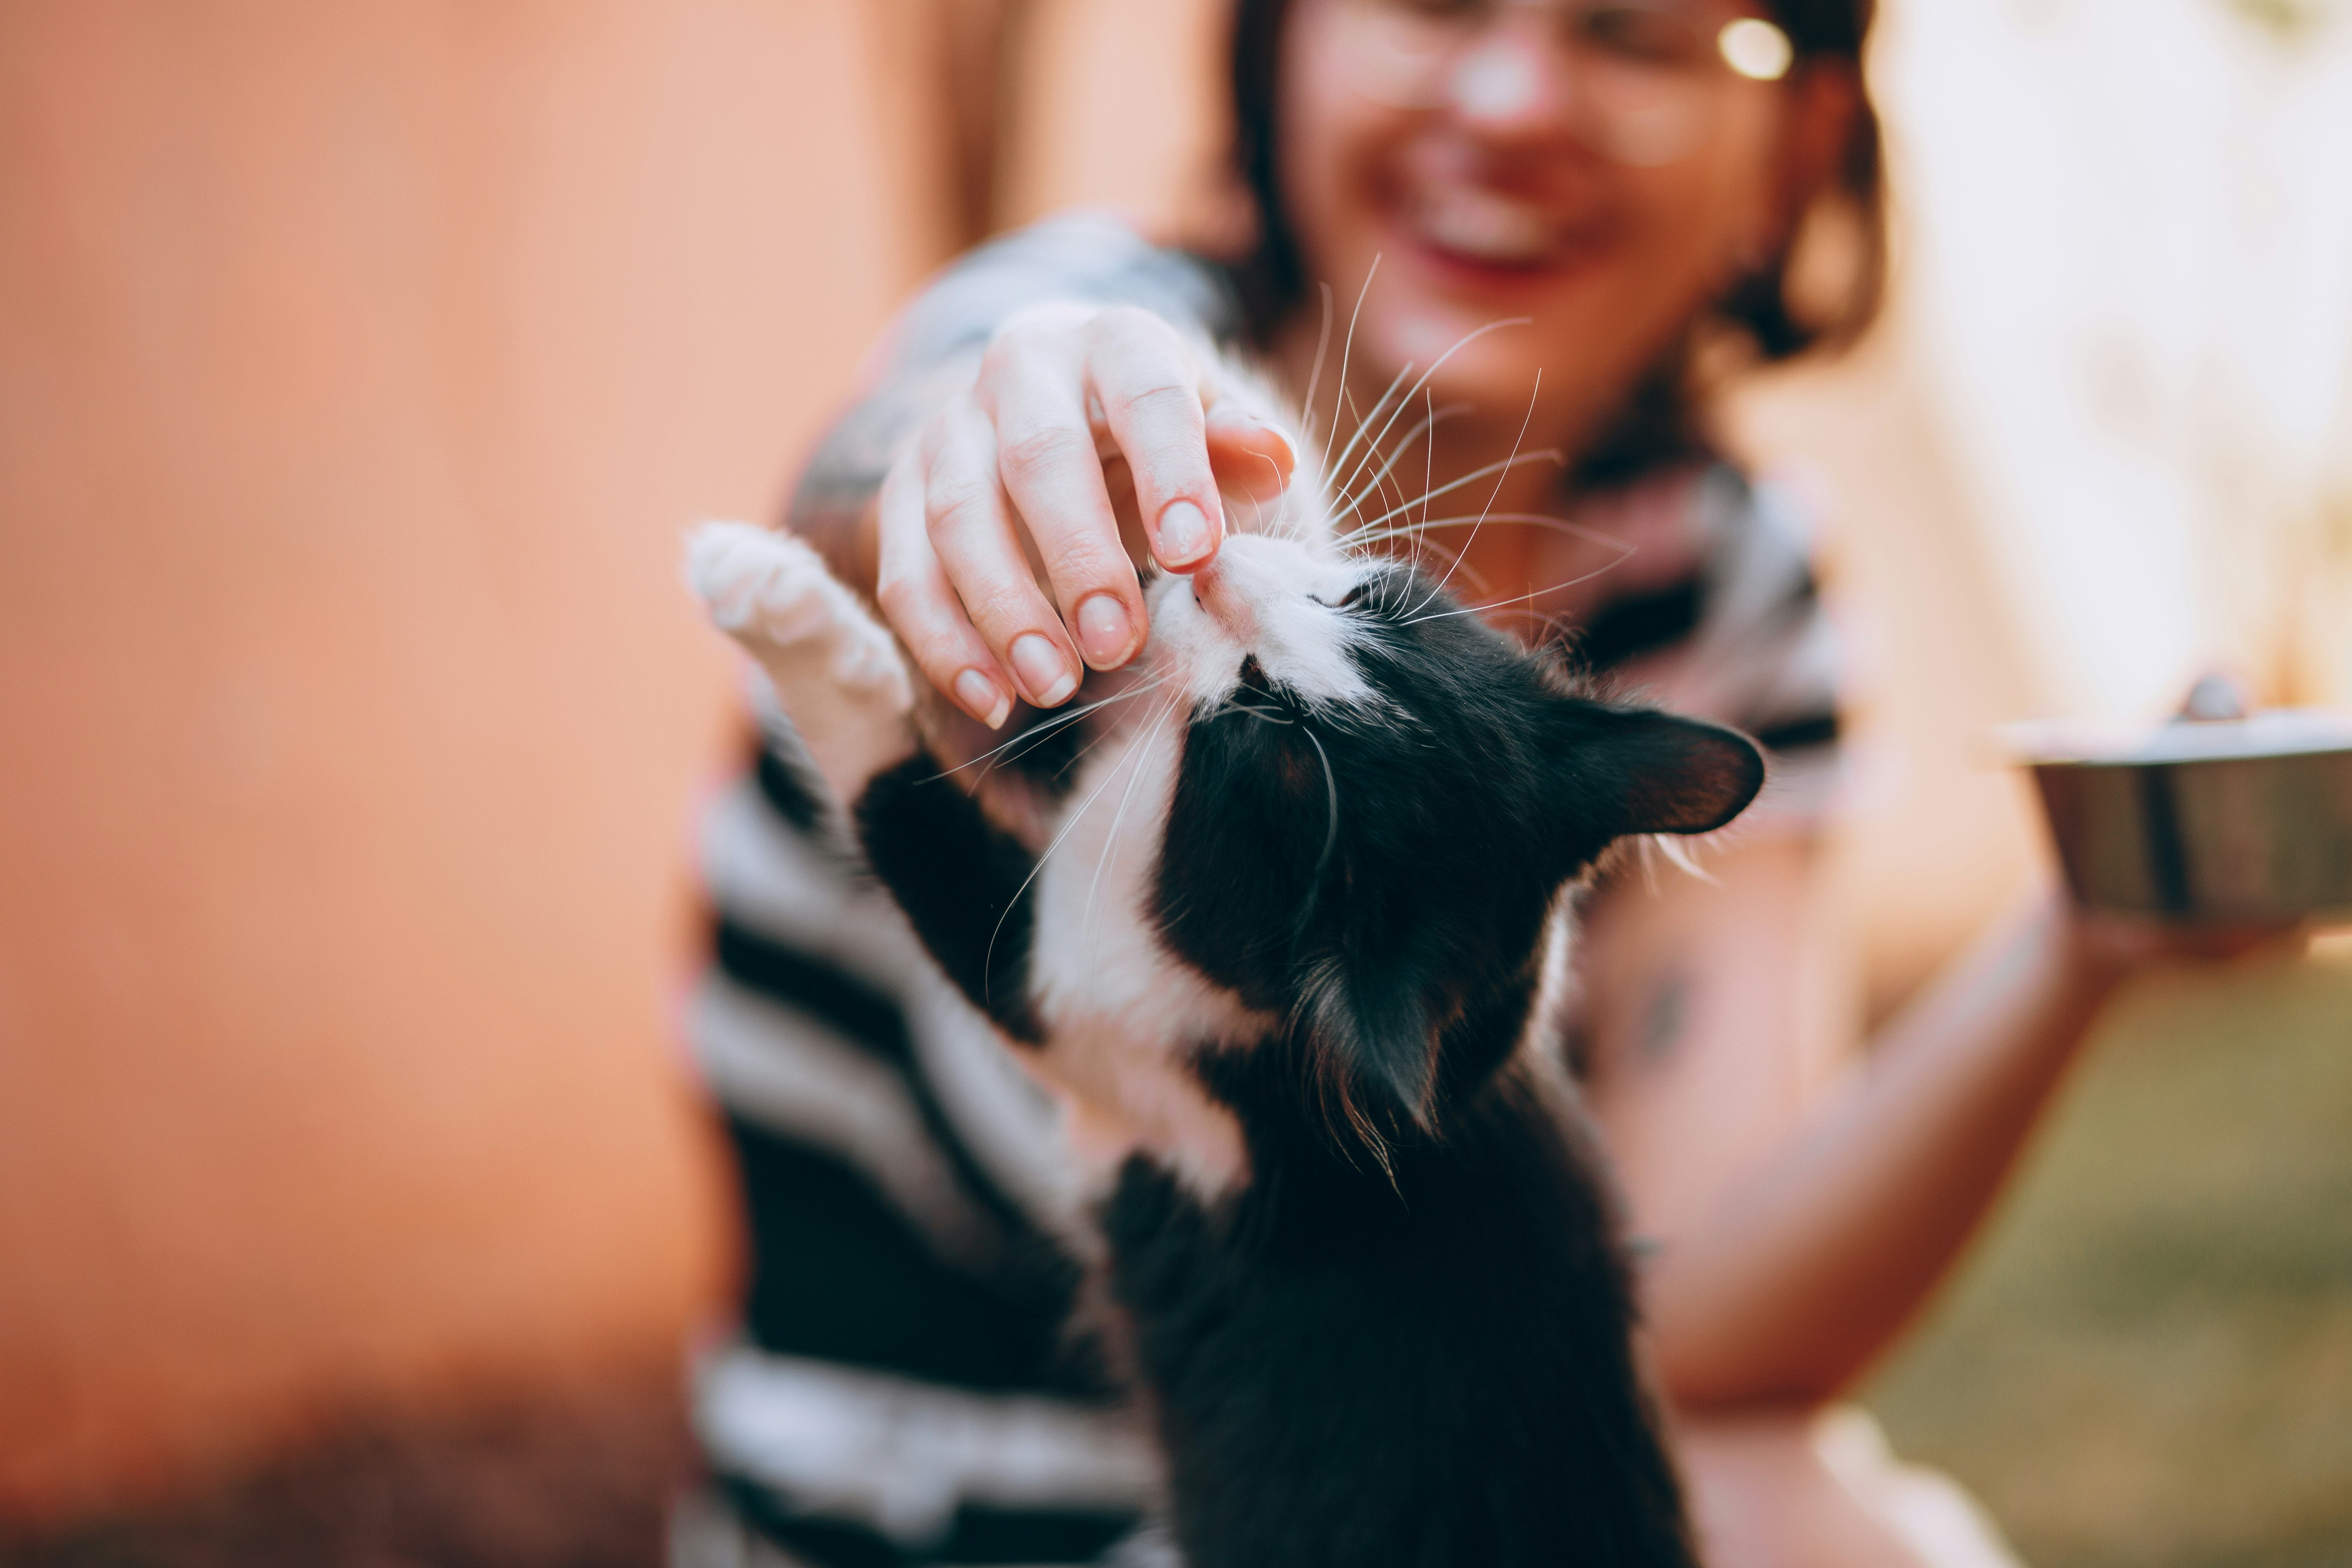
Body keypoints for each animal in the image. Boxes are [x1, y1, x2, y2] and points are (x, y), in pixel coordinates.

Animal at [686, 383, 1759, 1568]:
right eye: (1362, 597)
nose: (1211, 574)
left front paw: (770, 594)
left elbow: (894, 799)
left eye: (1257, 717)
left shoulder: (1082, 1012)